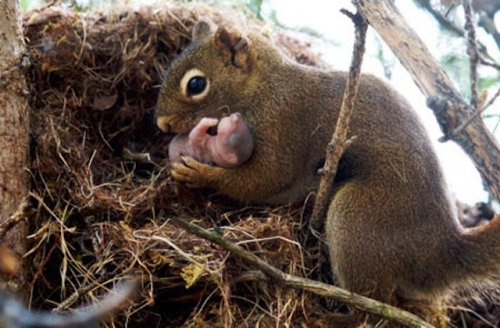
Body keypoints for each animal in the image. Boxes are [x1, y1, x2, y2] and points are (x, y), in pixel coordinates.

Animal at [156, 18, 500, 326]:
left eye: (196, 84)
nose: (161, 124)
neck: (264, 87)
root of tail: (444, 251)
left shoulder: (284, 123)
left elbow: (265, 178)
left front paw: (199, 173)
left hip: (358, 218)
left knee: (372, 307)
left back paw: (330, 316)